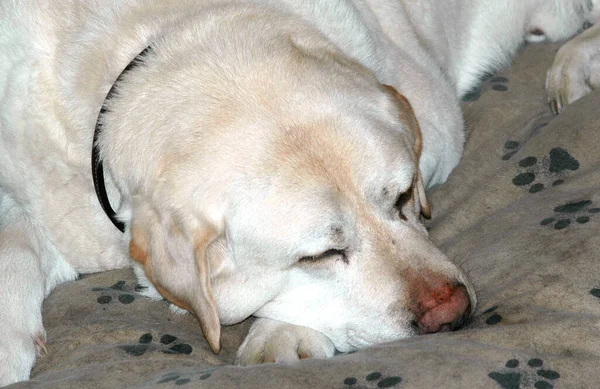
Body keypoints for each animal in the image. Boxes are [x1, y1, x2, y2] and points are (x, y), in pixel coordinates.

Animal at [0, 0, 596, 384]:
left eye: (403, 197)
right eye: (319, 254)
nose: (452, 313)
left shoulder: (437, 117)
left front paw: (280, 335)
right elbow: (15, 233)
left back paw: (576, 65)